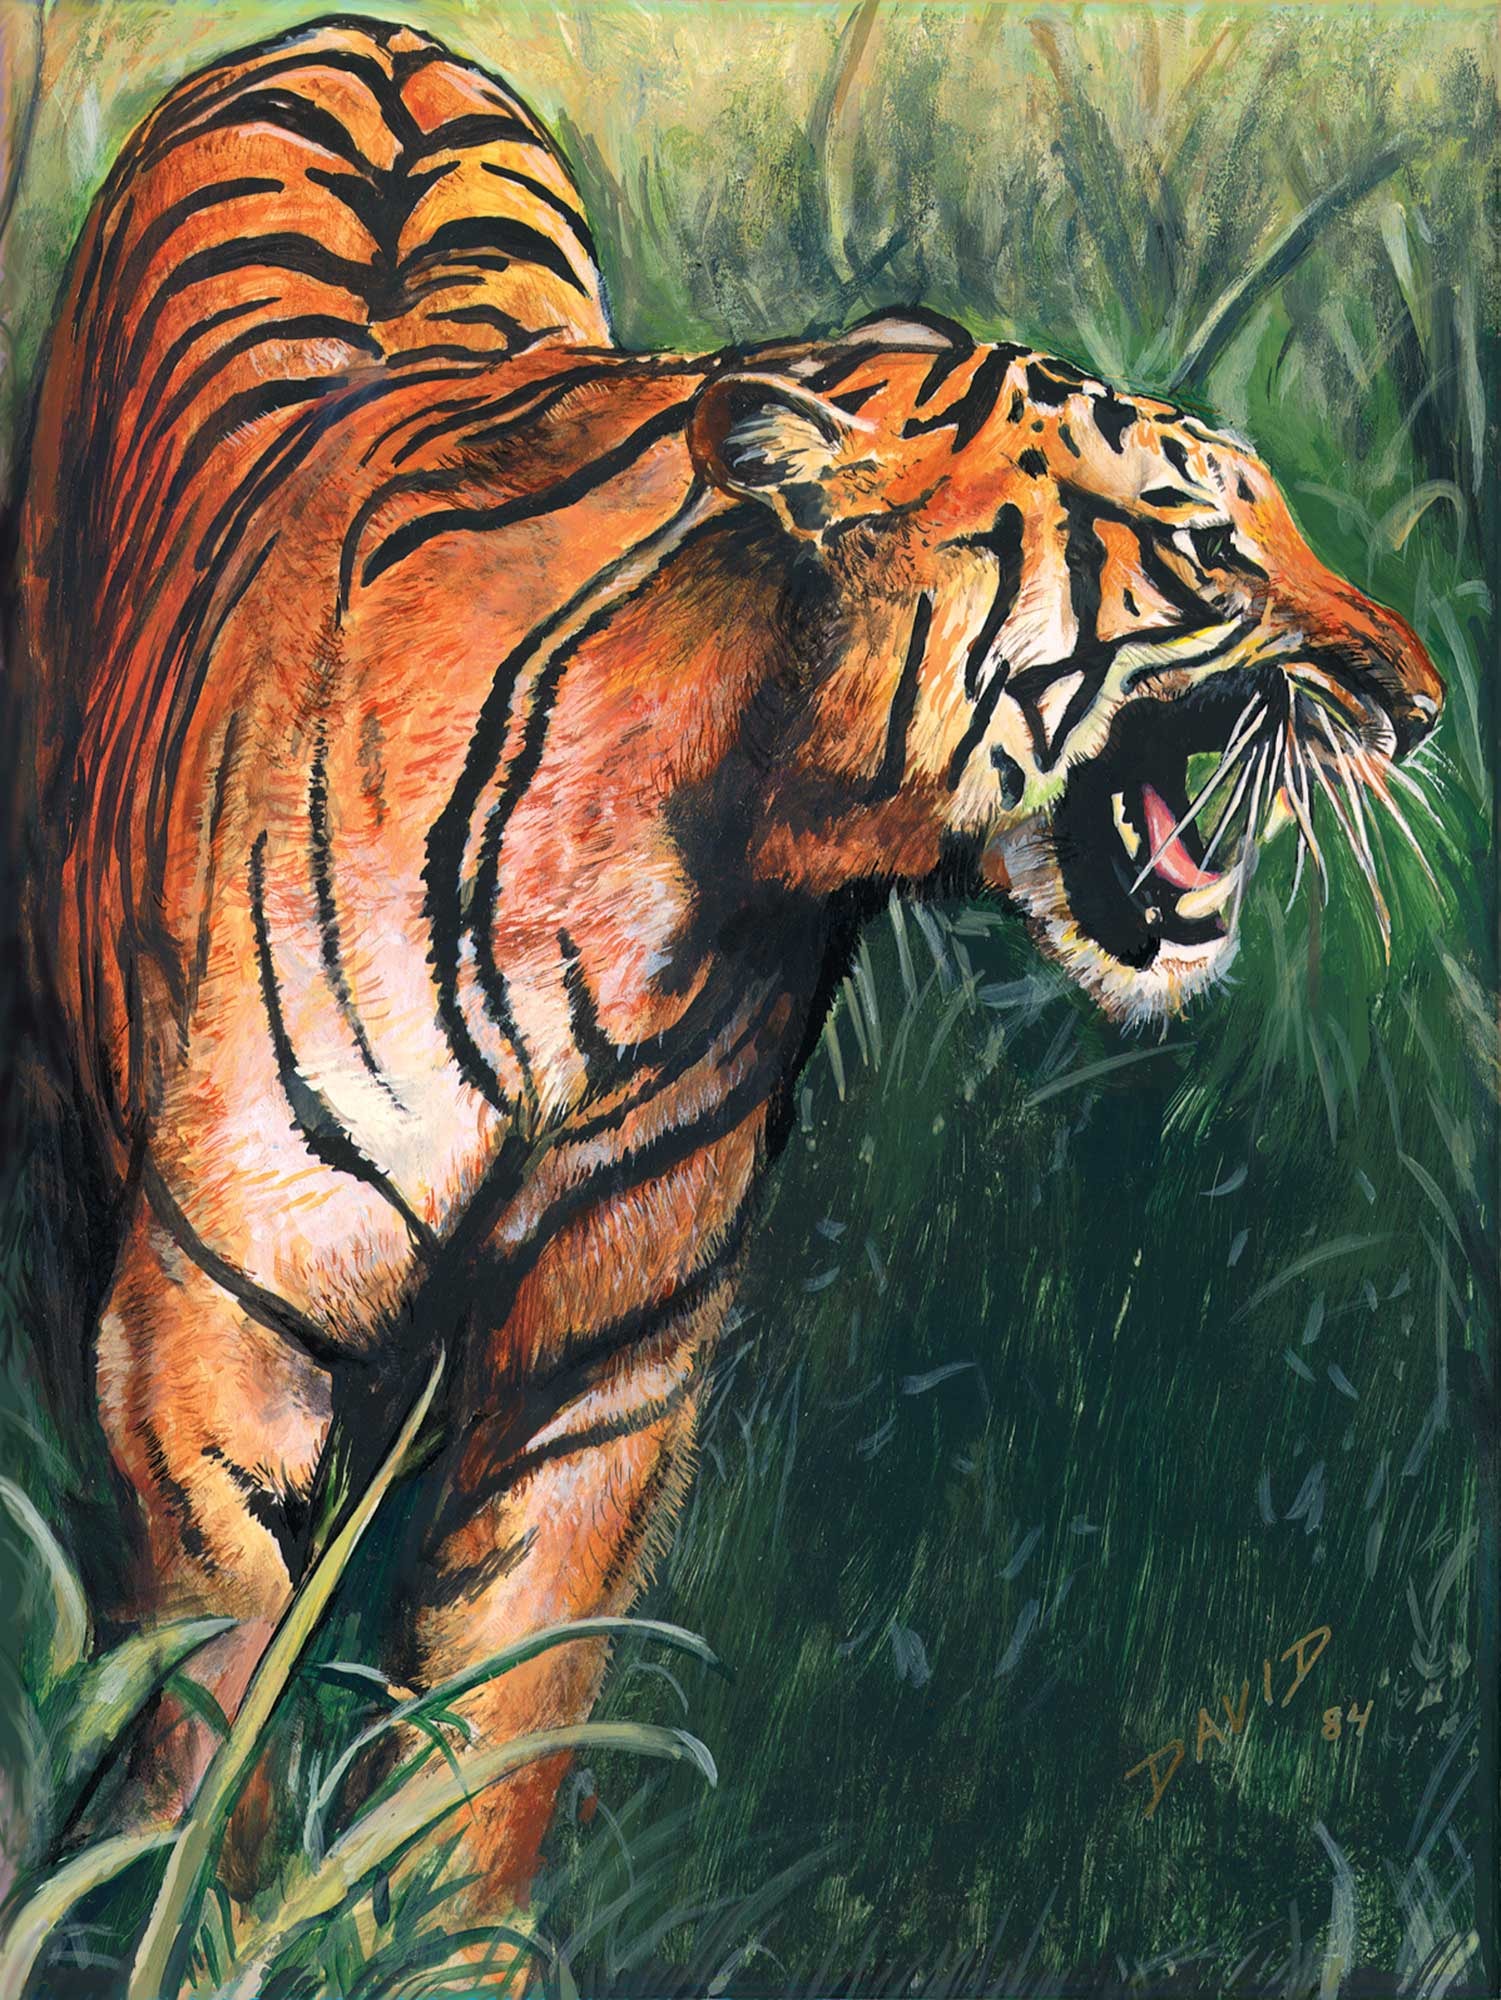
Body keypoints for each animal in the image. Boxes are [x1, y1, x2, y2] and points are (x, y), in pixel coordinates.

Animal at [15, 15, 1443, 1914]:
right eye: (1208, 548)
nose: (1423, 704)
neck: (707, 865)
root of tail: (352, 29)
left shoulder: (606, 1361)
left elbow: (498, 1723)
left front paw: (430, 1935)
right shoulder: (215, 1311)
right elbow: (214, 1689)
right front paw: (178, 1914)